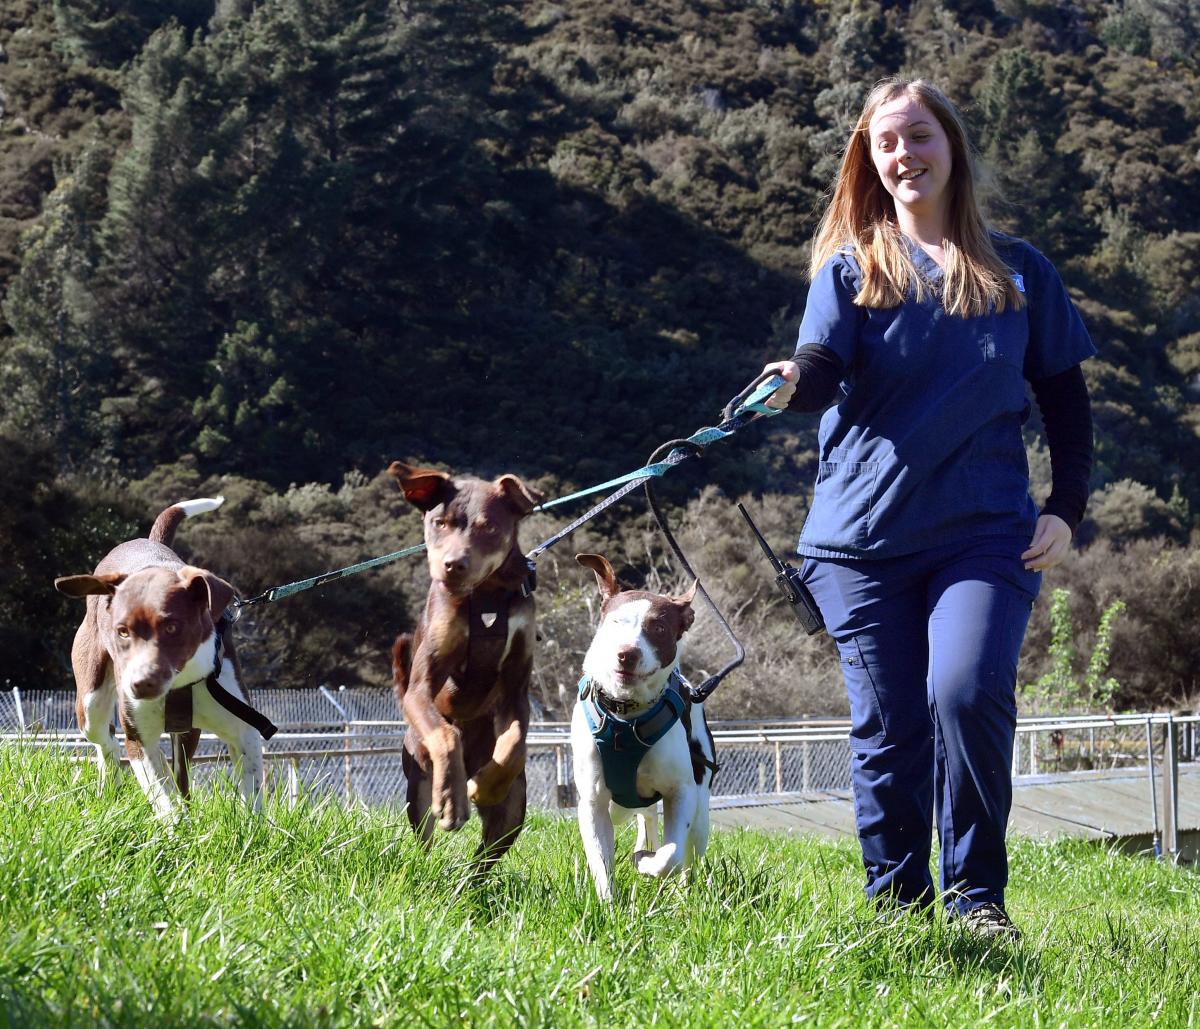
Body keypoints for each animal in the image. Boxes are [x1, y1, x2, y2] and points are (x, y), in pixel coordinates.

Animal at [56, 496, 272, 820]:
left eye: (172, 627)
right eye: (122, 631)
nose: (141, 684)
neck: (180, 682)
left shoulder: (243, 727)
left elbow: (253, 794)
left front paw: (251, 829)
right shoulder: (139, 739)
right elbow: (164, 797)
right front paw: (176, 826)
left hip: (188, 731)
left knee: (181, 775)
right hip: (90, 699)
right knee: (105, 737)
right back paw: (109, 785)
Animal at [388, 460, 544, 868]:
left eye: (489, 528)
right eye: (439, 523)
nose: (452, 566)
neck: (487, 595)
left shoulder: (516, 687)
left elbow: (515, 744)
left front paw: (486, 786)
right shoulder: (421, 687)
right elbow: (446, 734)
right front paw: (452, 799)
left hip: (513, 814)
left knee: (483, 862)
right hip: (416, 789)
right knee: (424, 838)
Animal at [568, 554, 710, 897]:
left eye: (658, 627)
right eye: (615, 623)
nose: (627, 654)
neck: (625, 717)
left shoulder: (681, 792)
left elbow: (671, 856)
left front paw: (645, 861)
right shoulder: (592, 802)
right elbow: (601, 861)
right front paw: (608, 903)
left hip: (701, 807)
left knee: (690, 853)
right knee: (646, 818)